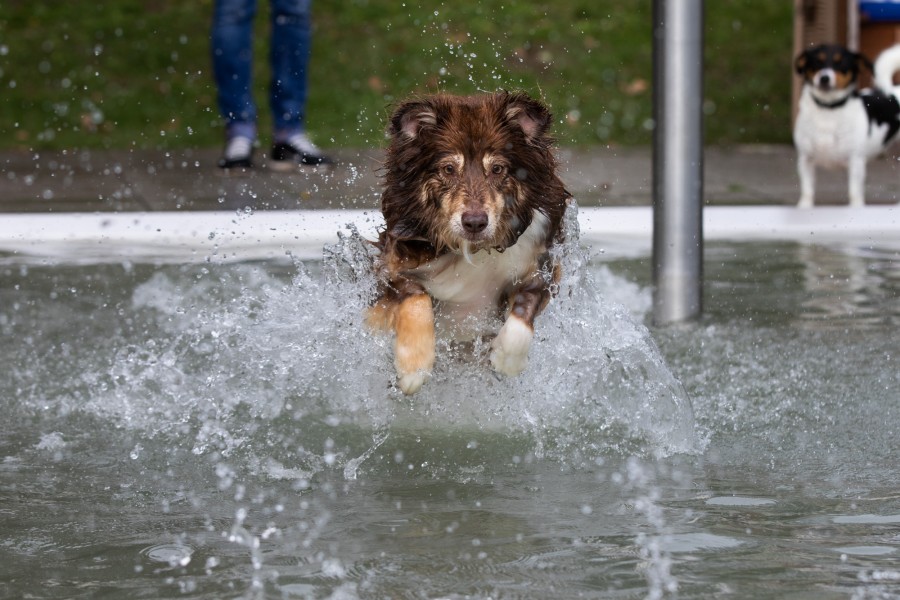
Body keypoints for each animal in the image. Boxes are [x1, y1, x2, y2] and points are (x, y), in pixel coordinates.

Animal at [366, 91, 568, 396]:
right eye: (449, 169)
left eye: (497, 169)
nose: (474, 222)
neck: (475, 250)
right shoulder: (390, 263)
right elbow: (416, 296)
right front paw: (413, 367)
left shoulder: (542, 263)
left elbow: (525, 307)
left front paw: (506, 359)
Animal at [796, 42, 900, 206]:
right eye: (817, 62)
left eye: (841, 63)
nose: (824, 78)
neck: (828, 111)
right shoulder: (805, 160)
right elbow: (807, 191)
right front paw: (804, 207)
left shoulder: (856, 161)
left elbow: (854, 192)